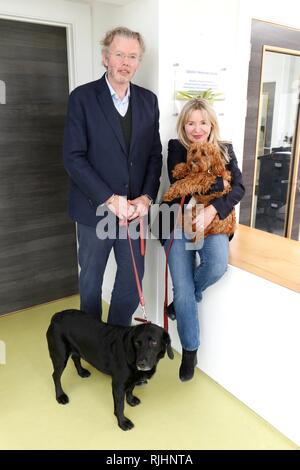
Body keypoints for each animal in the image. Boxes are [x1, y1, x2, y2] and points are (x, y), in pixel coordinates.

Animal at [46, 310, 175, 432]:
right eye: (136, 342)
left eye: (154, 342)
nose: (141, 363)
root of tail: (56, 316)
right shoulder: (118, 386)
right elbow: (120, 406)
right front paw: (122, 422)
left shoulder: (131, 380)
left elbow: (130, 390)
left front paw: (131, 400)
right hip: (60, 356)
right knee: (55, 376)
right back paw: (60, 396)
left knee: (75, 357)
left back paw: (81, 372)